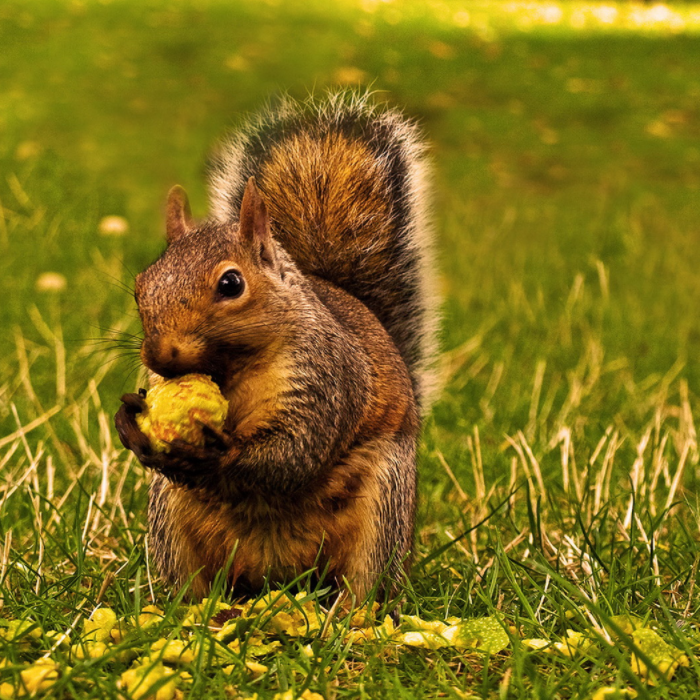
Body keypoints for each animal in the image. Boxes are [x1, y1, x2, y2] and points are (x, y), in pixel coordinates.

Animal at [115, 91, 438, 600]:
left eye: (231, 283)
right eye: (140, 286)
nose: (161, 356)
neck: (232, 370)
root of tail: (277, 576)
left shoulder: (324, 379)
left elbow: (296, 449)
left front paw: (217, 450)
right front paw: (130, 419)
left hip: (385, 506)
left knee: (367, 583)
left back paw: (349, 615)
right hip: (170, 520)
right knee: (191, 585)